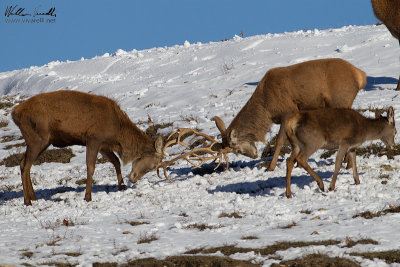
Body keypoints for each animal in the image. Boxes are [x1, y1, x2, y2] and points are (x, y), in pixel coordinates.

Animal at [11, 91, 164, 206]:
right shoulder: (93, 138)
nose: (133, 179)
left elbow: (116, 162)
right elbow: (91, 167)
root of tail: (14, 114)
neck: (117, 134)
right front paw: (88, 196)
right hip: (37, 138)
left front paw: (121, 186)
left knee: (24, 163)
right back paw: (27, 201)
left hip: (41, 141)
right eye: (154, 165)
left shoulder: (103, 145)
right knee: (25, 165)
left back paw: (34, 197)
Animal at [214, 58, 368, 172]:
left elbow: (280, 141)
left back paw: (347, 164)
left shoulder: (288, 112)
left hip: (340, 99)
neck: (267, 109)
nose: (254, 155)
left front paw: (271, 167)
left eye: (236, 148)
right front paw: (298, 164)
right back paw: (347, 162)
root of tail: (360, 75)